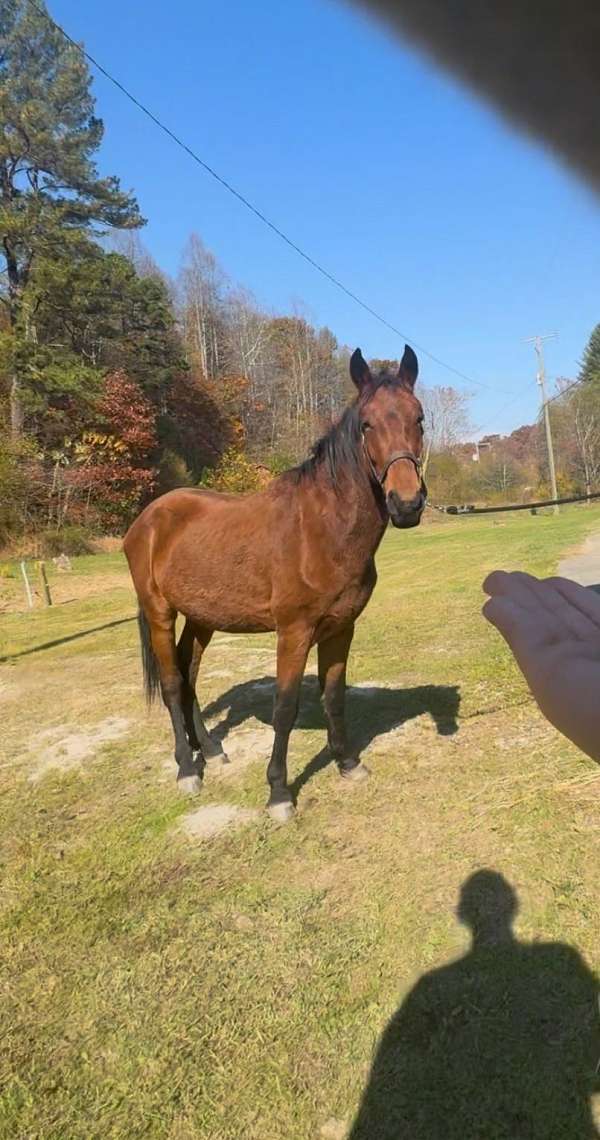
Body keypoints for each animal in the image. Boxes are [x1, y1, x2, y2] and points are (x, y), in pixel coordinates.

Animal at [122, 346, 426, 820]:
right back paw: (187, 769)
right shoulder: (293, 632)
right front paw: (279, 793)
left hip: (202, 619)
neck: (321, 529)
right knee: (173, 685)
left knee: (189, 677)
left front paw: (347, 763)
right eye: (367, 424)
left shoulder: (341, 629)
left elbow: (334, 696)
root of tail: (147, 519)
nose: (407, 503)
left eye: (419, 418)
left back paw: (209, 751)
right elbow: (285, 707)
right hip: (159, 613)